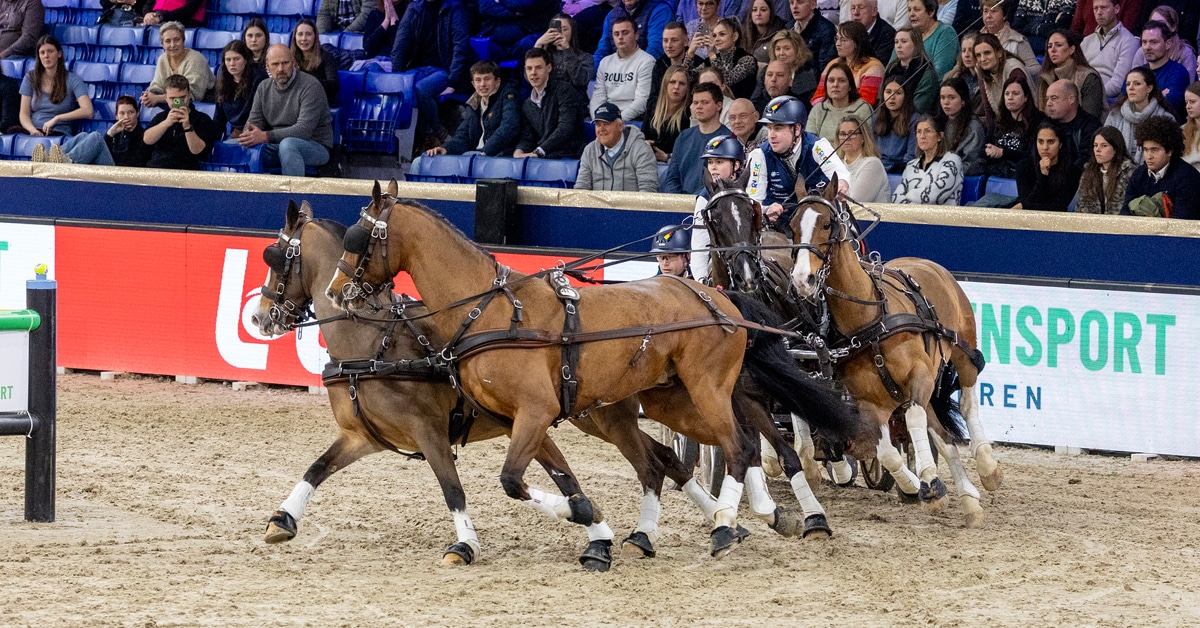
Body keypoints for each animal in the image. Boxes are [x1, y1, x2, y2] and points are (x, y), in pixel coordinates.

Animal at [249, 200, 694, 571]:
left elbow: (453, 489)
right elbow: (317, 468)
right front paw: (282, 518)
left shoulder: (430, 431)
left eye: (277, 256)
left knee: (653, 464)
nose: (258, 316)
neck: (374, 344)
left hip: (601, 418)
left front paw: (465, 545)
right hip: (592, 418)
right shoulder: (362, 436)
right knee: (663, 459)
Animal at [326, 181, 865, 557]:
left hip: (708, 389)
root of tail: (718, 299)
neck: (491, 310)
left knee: (740, 447)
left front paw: (586, 521)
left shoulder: (535, 411)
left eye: (358, 236)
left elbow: (512, 481)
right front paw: (594, 527)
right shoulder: (522, 418)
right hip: (674, 400)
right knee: (693, 455)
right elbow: (548, 477)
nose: (334, 292)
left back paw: (729, 525)